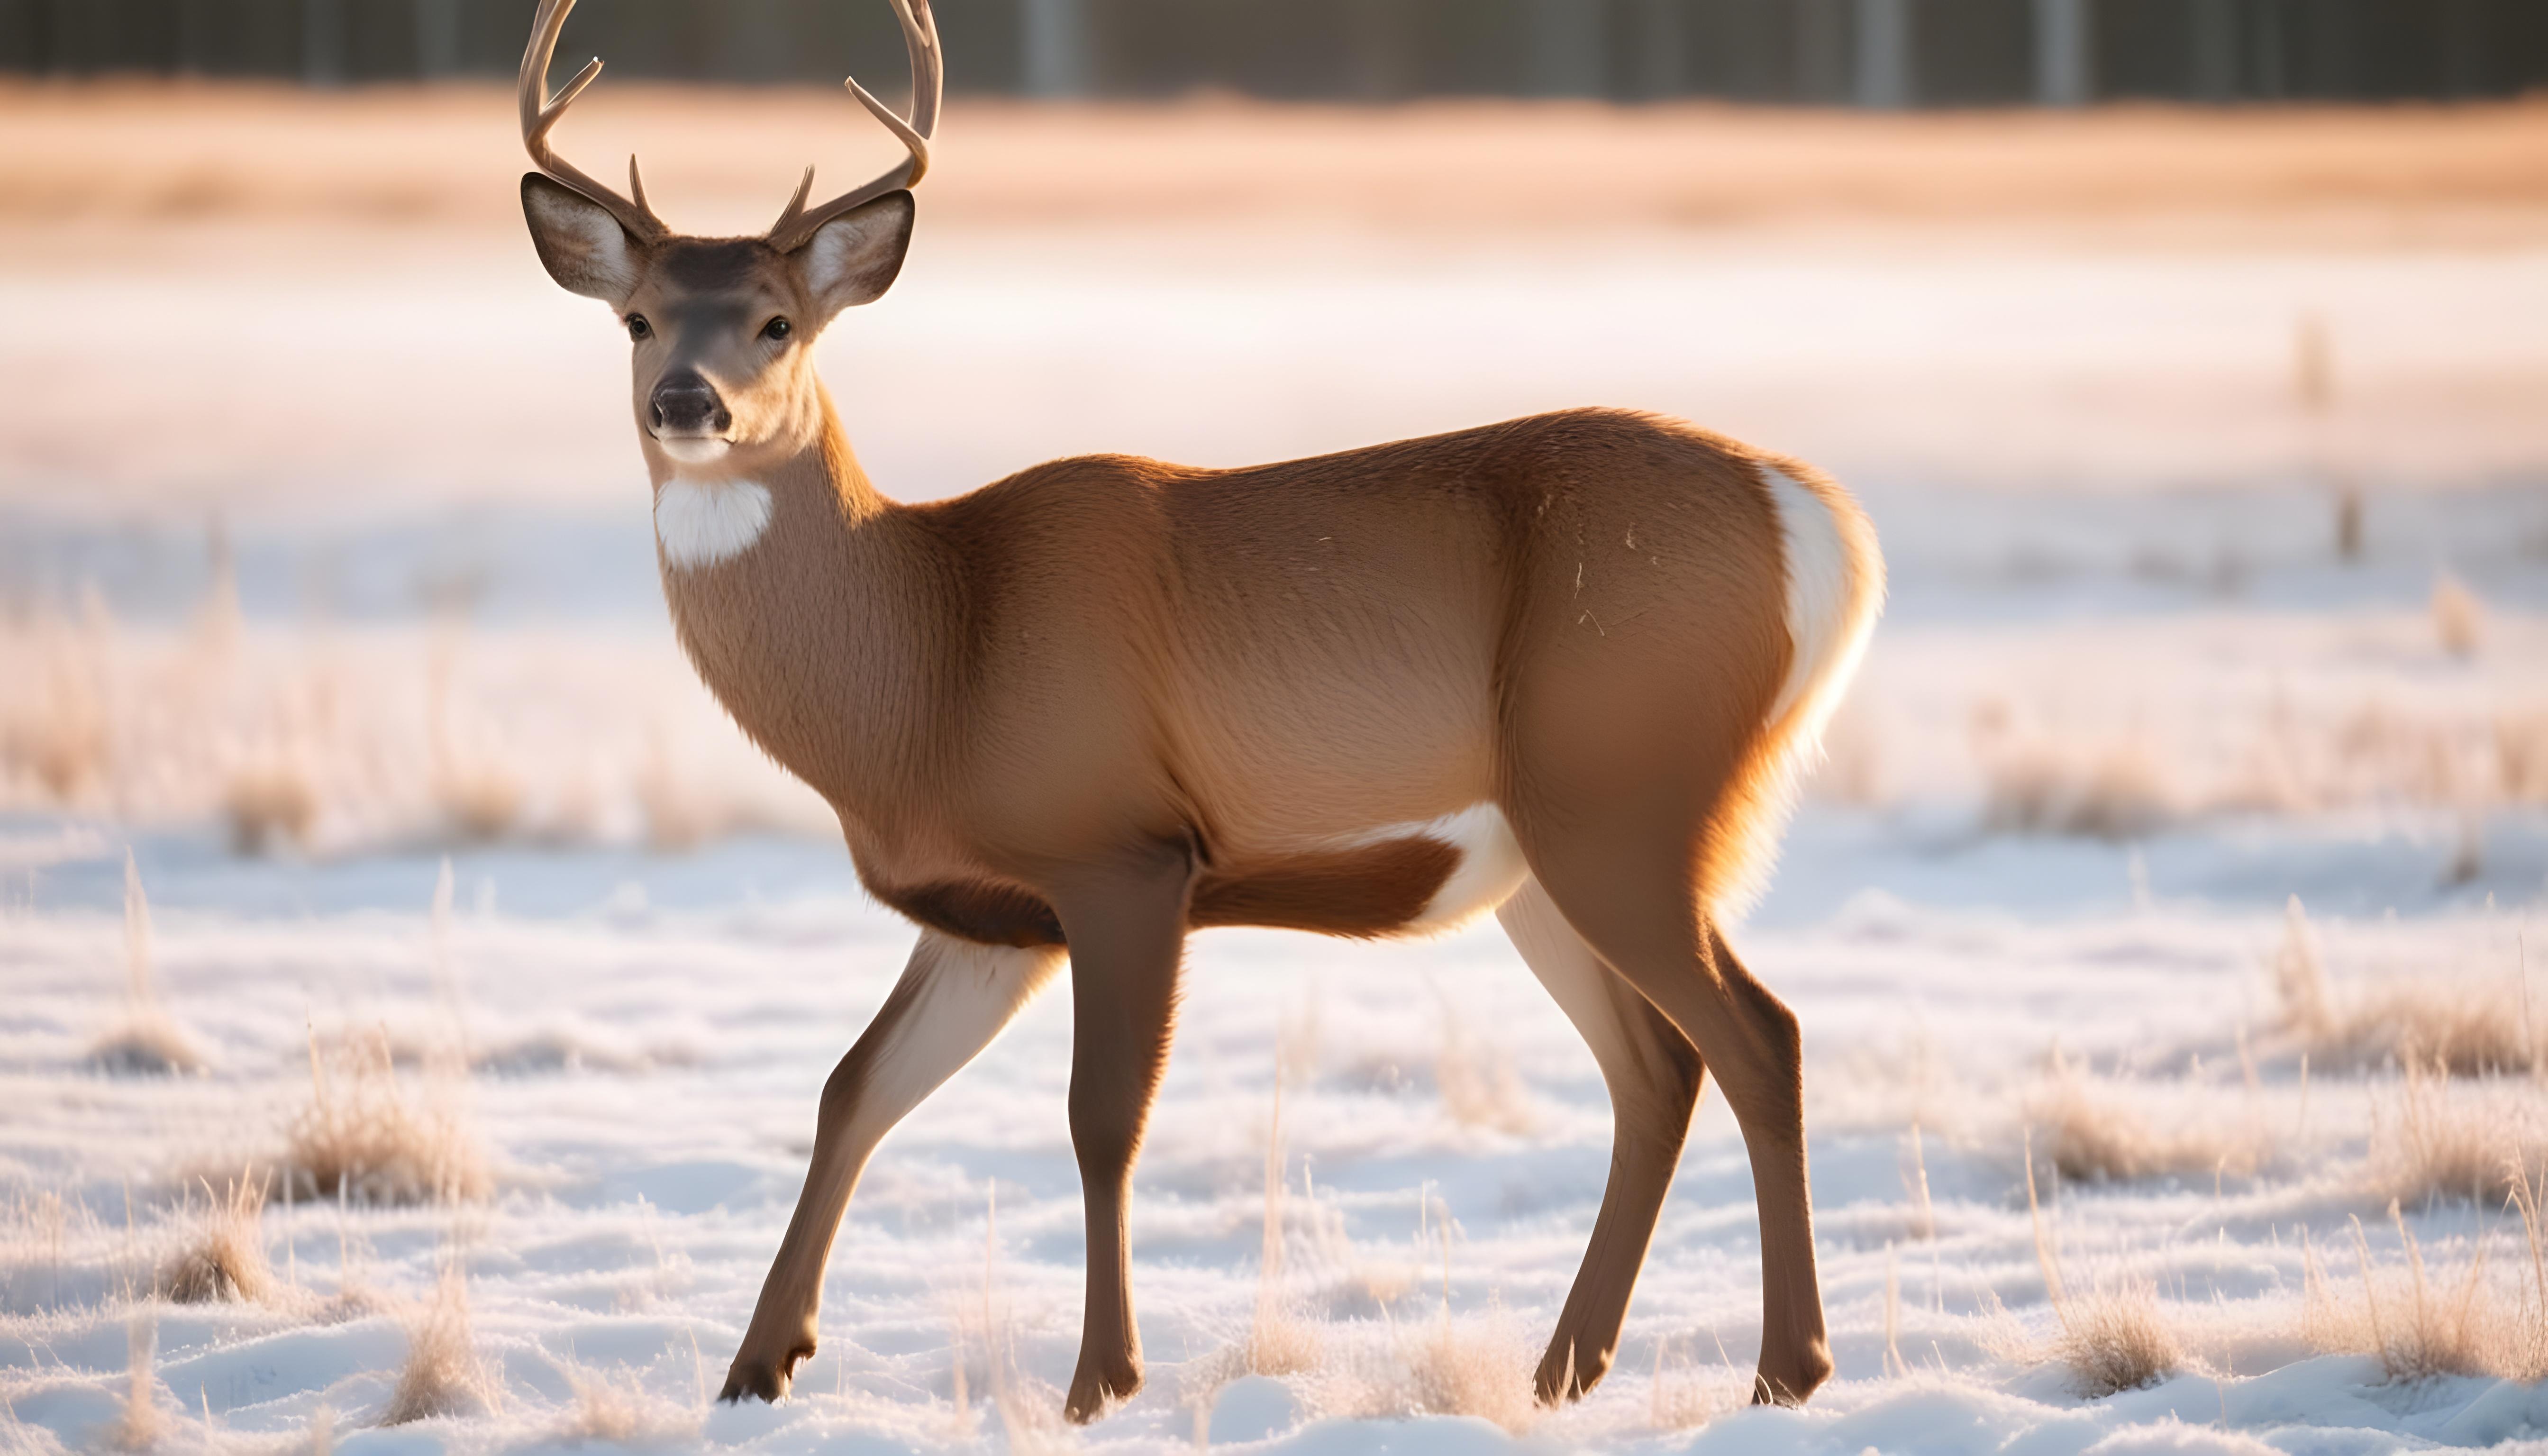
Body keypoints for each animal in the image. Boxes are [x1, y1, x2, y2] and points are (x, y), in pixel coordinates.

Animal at [514, 0, 1882, 1425]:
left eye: (779, 322)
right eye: (636, 320)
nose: (689, 401)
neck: (933, 665)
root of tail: (1822, 524)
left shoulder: (1123, 849)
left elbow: (1101, 1115)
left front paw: (1099, 1381)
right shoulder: (991, 913)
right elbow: (857, 1087)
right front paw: (756, 1367)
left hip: (1629, 797)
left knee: (1762, 1037)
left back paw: (1786, 1369)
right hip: (1542, 854)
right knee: (1656, 1067)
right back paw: (1566, 1368)